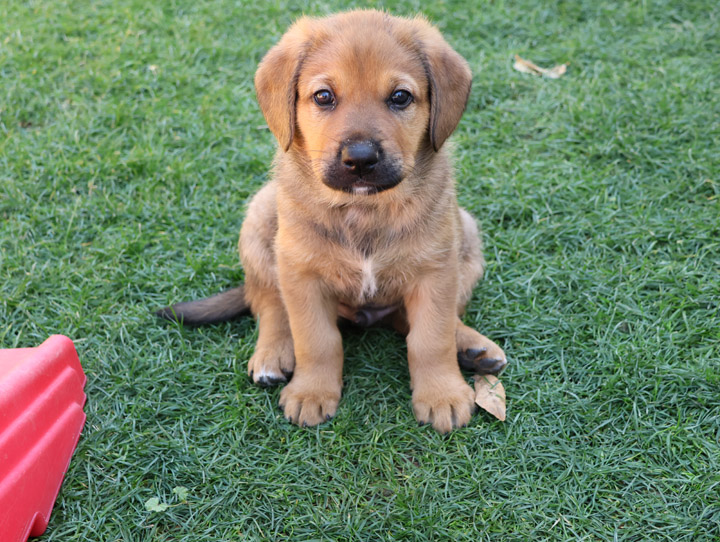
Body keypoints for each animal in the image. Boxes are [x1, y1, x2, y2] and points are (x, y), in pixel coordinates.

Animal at [158, 9, 506, 434]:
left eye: (400, 97)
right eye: (324, 96)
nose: (360, 159)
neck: (364, 209)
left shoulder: (436, 270)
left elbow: (430, 338)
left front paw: (442, 394)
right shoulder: (302, 274)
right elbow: (316, 340)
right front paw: (311, 393)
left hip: (466, 233)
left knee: (414, 320)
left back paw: (471, 345)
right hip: (260, 222)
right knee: (267, 302)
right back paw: (273, 354)